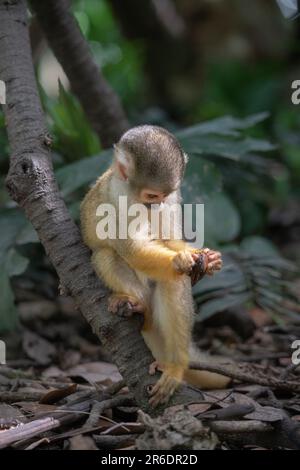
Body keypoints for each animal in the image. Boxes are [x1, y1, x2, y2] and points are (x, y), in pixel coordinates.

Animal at [79, 126, 230, 408]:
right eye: (151, 195)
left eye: (164, 195)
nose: (156, 205)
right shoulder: (117, 199)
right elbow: (131, 248)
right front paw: (178, 260)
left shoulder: (173, 198)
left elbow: (169, 236)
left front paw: (199, 257)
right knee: (105, 255)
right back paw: (140, 308)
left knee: (172, 281)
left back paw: (175, 365)